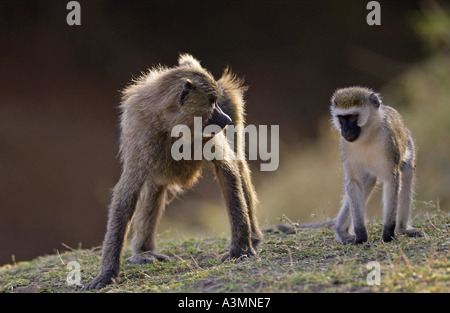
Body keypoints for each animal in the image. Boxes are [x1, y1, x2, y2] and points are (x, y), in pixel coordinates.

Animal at [82, 54, 262, 290]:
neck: (173, 124)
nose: (226, 120)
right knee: (154, 186)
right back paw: (144, 252)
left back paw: (254, 237)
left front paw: (240, 249)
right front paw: (107, 274)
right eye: (211, 102)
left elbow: (228, 171)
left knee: (239, 165)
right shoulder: (143, 137)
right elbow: (126, 195)